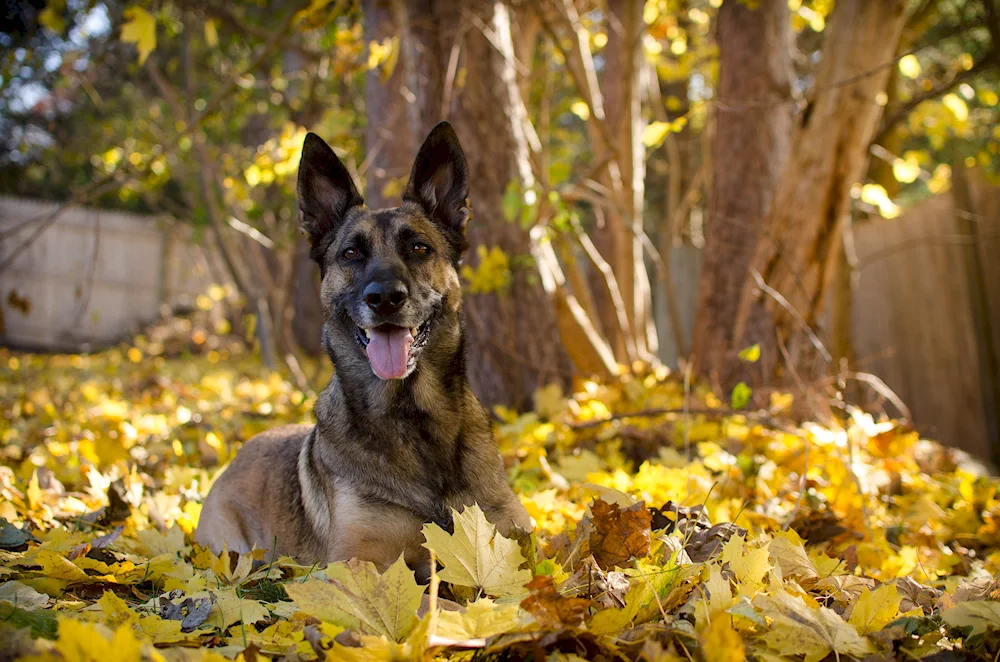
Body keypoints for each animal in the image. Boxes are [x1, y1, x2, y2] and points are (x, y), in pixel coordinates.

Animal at [197, 122, 540, 580]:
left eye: (419, 248)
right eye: (351, 253)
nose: (384, 298)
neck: (412, 419)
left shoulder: (516, 538)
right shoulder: (355, 562)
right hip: (231, 548)